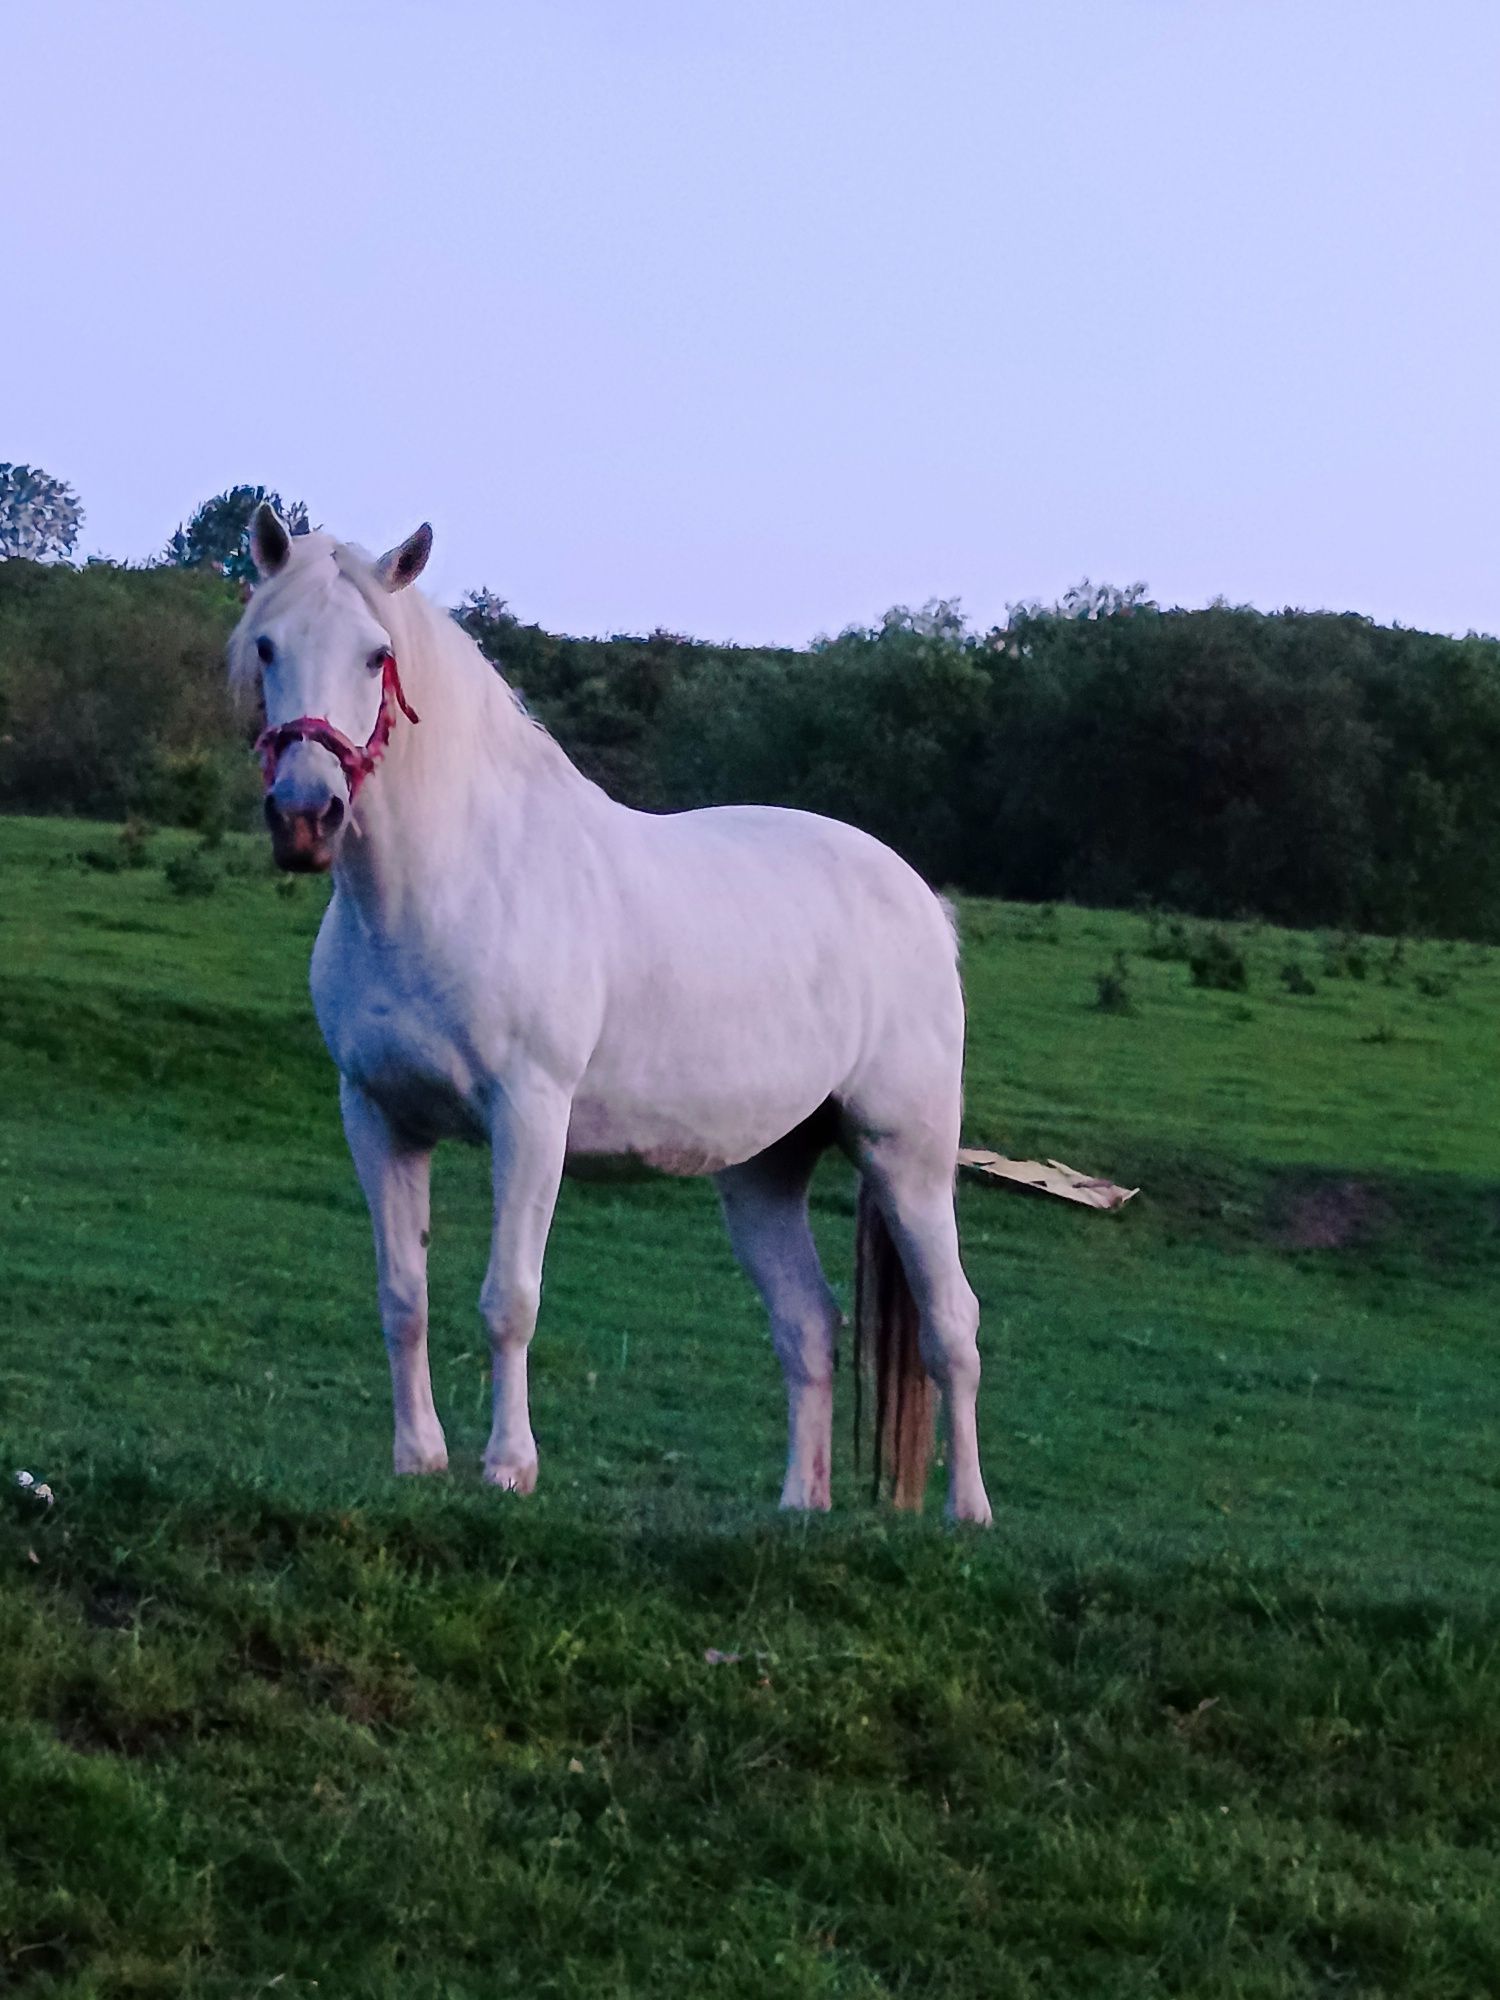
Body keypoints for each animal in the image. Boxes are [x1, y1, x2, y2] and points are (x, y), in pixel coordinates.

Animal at [229, 508, 992, 1520]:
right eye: (268, 646)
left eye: (376, 655)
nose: (306, 816)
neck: (451, 883)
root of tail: (920, 899)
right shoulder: (379, 1116)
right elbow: (404, 1293)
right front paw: (418, 1458)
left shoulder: (530, 1116)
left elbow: (510, 1300)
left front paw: (509, 1466)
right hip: (764, 1171)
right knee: (808, 1325)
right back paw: (800, 1506)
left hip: (907, 1154)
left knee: (952, 1325)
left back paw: (968, 1513)